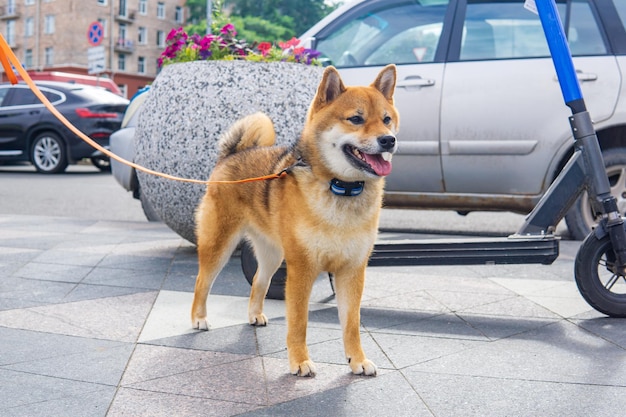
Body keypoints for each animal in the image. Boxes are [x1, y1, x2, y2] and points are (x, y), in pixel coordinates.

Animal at [190, 63, 402, 376]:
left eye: (387, 120)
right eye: (356, 119)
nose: (388, 139)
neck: (342, 189)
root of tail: (231, 155)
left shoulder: (352, 270)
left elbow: (351, 324)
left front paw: (357, 360)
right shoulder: (302, 268)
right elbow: (299, 322)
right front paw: (300, 361)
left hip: (272, 254)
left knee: (258, 282)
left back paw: (255, 315)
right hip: (219, 244)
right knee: (202, 281)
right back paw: (198, 318)